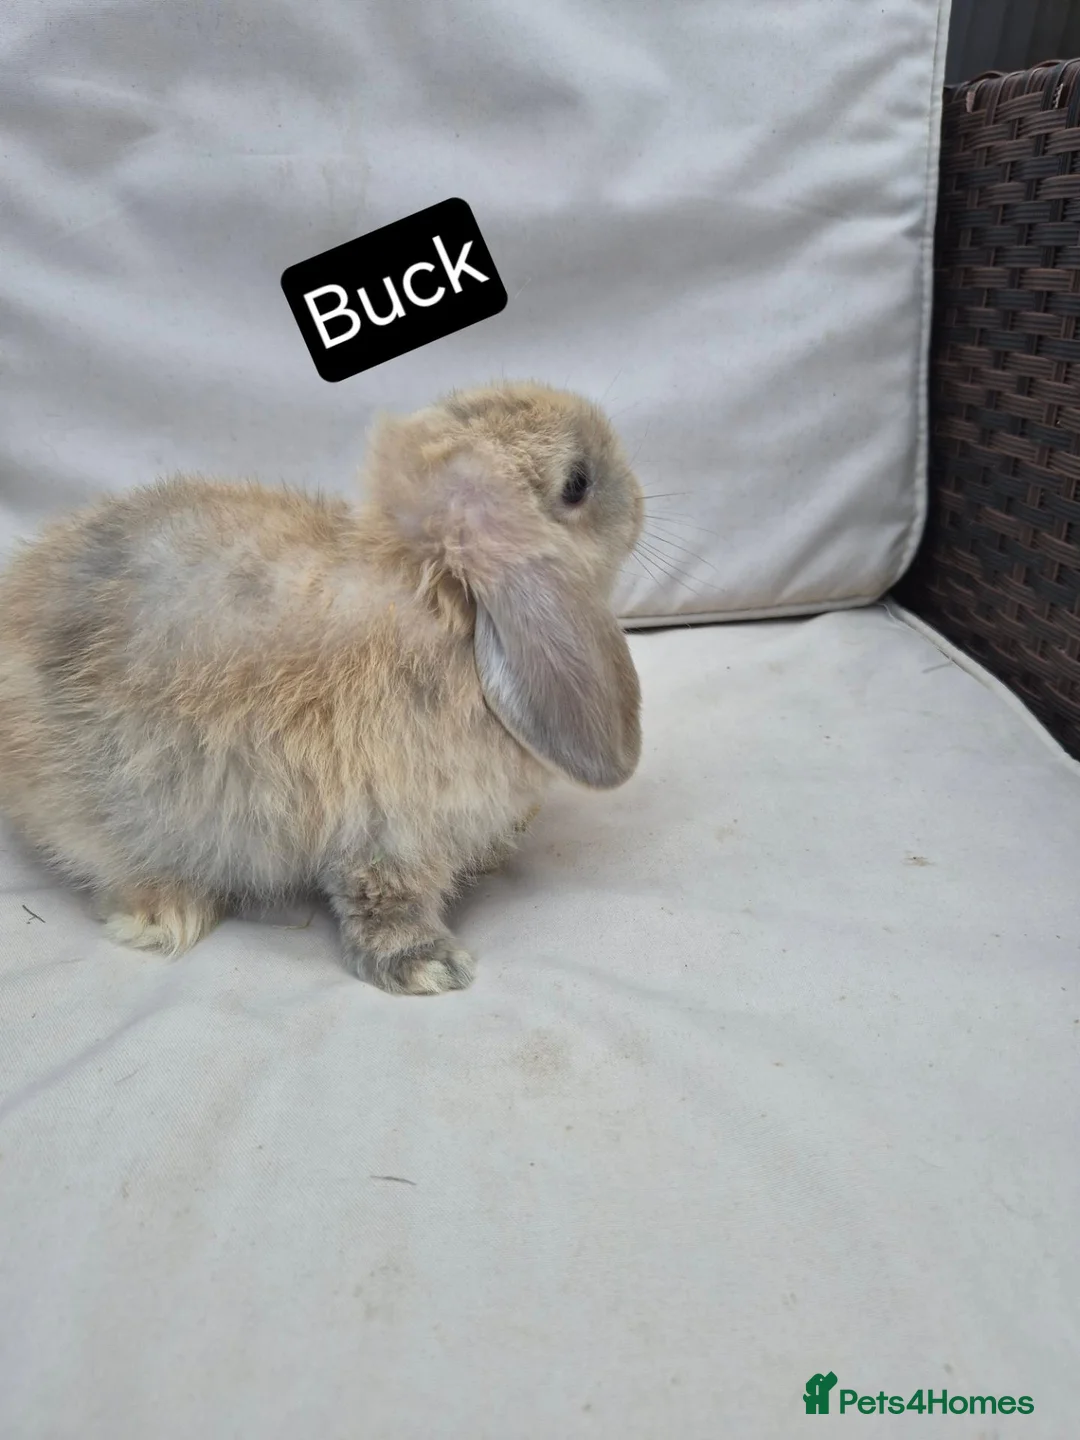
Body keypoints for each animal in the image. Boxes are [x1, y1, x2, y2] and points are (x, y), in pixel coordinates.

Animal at [0, 382, 644, 994]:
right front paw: (428, 967)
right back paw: (168, 915)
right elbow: (385, 898)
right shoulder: (389, 823)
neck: (439, 587)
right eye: (578, 483)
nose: (639, 502)